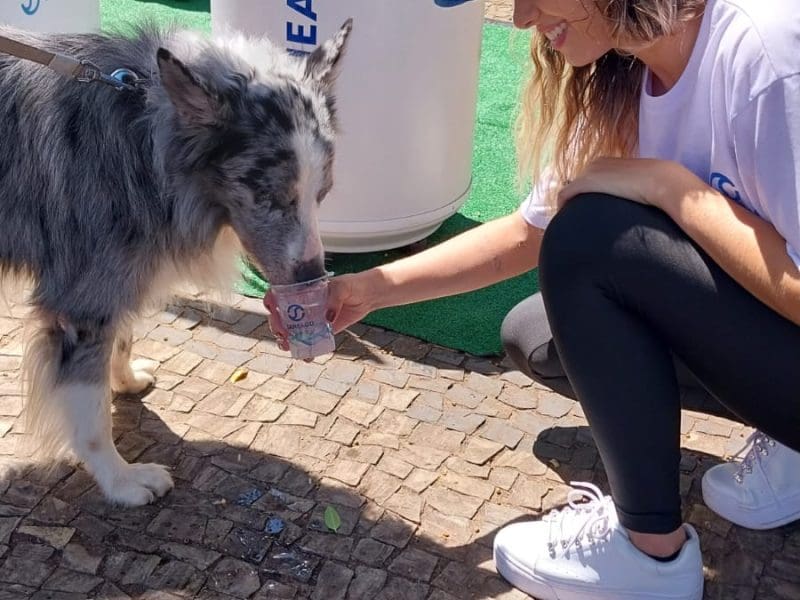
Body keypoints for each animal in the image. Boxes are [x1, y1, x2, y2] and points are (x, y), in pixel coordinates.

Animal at [0, 18, 354, 504]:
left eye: (323, 194)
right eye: (268, 196)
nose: (311, 277)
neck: (143, 134)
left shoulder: (125, 271)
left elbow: (122, 338)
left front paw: (126, 380)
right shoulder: (82, 299)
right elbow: (90, 410)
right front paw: (121, 480)